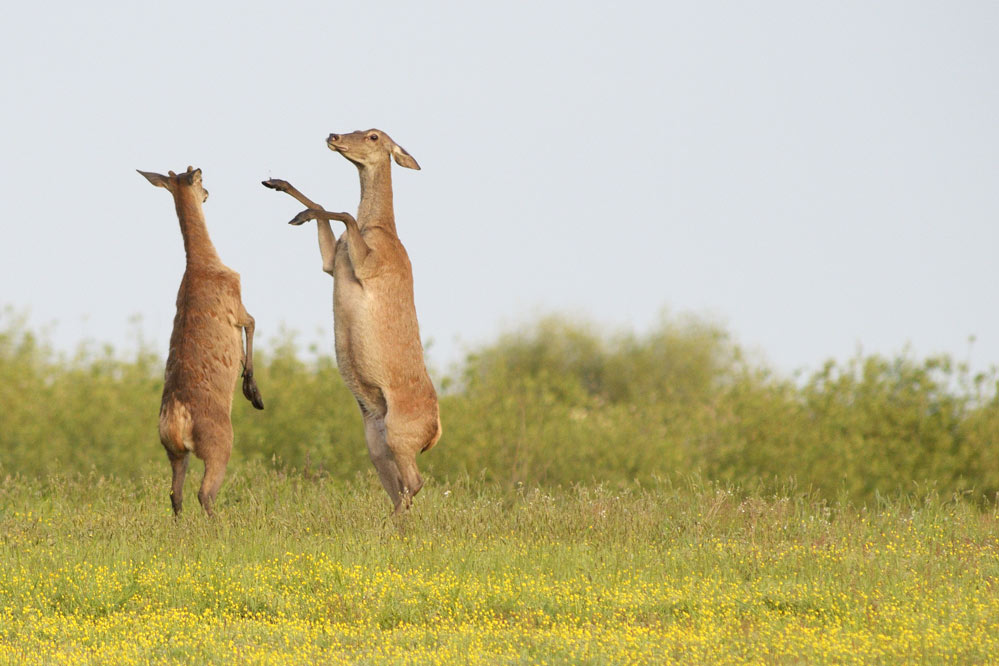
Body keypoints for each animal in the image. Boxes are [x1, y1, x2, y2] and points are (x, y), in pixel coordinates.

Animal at [141, 165, 268, 512]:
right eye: (200, 179)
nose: (209, 193)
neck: (204, 264)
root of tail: (177, 419)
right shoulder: (236, 303)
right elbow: (253, 325)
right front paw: (253, 392)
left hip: (173, 450)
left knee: (175, 494)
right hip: (219, 441)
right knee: (205, 492)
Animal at [262, 130, 442, 512]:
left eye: (373, 135)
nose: (333, 135)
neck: (381, 231)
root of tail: (435, 433)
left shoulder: (369, 265)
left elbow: (345, 214)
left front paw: (299, 213)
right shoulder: (333, 263)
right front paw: (277, 184)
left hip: (401, 433)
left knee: (415, 482)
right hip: (376, 440)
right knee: (400, 487)